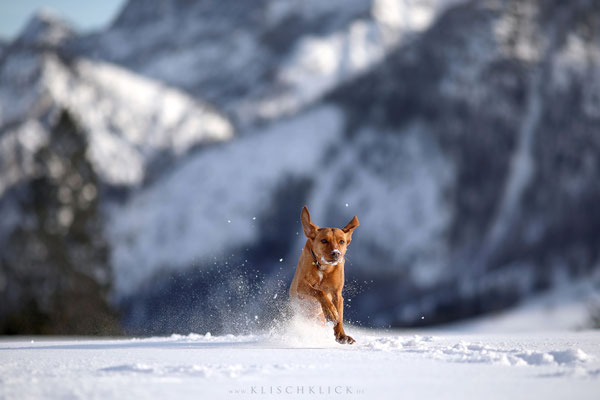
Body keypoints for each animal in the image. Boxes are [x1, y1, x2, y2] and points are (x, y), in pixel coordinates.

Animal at [288, 206, 358, 344]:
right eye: (324, 240)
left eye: (342, 241)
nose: (336, 253)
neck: (324, 268)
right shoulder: (301, 286)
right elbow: (319, 292)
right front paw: (330, 311)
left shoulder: (337, 293)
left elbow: (339, 316)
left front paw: (341, 335)